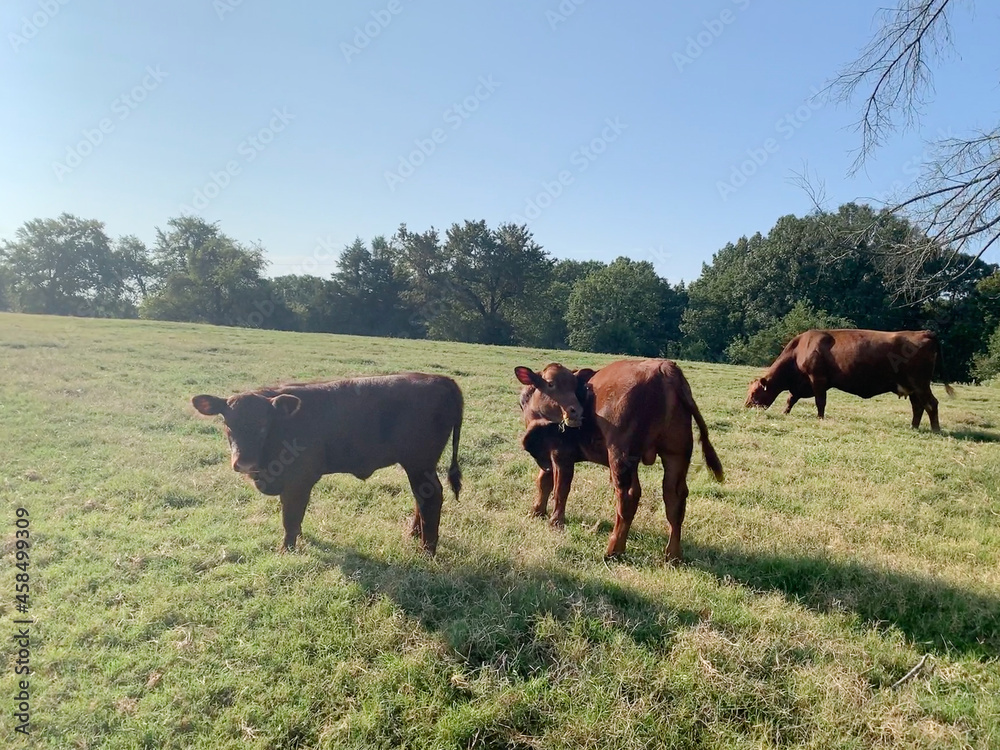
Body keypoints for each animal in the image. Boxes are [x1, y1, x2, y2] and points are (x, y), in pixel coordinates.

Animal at [191, 373, 463, 554]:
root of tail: (440, 379)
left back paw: (427, 549)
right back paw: (414, 535)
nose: (244, 462)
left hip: (420, 463)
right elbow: (293, 515)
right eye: (228, 424)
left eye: (263, 425)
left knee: (431, 497)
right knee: (421, 497)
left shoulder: (298, 479)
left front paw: (287, 550)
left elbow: (290, 516)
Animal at [515, 359, 724, 564]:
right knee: (674, 497)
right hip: (676, 453)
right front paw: (536, 511)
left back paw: (614, 549)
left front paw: (555, 522)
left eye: (574, 387)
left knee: (628, 496)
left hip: (620, 455)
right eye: (550, 384)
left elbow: (560, 489)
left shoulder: (561, 454)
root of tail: (664, 367)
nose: (576, 411)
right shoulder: (548, 456)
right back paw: (673, 555)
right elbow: (543, 482)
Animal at [744, 328, 955, 431]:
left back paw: (936, 430)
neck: (800, 349)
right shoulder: (802, 384)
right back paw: (913, 427)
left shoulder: (818, 379)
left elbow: (820, 402)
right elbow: (791, 399)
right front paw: (785, 413)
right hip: (911, 387)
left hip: (920, 384)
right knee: (918, 407)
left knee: (931, 404)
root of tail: (923, 332)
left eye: (754, 393)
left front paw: (820, 419)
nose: (745, 407)